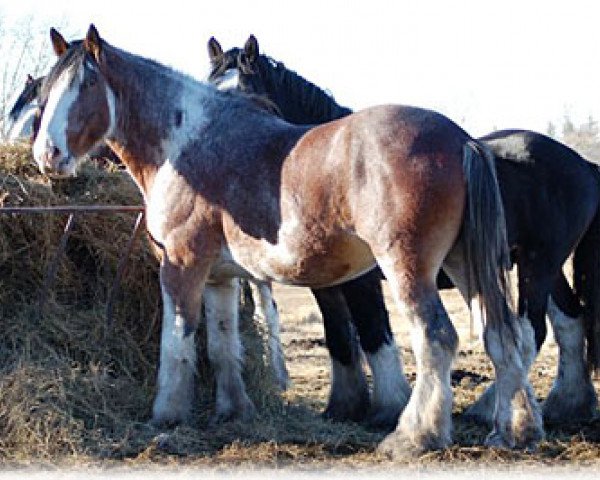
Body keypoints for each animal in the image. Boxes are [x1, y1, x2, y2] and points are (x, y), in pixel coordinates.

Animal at [32, 25, 540, 454]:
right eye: (44, 90)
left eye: (86, 85)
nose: (47, 154)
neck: (186, 142)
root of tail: (459, 139)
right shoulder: (219, 277)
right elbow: (222, 344)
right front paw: (233, 411)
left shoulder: (181, 266)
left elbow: (176, 341)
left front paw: (167, 416)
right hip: (466, 264)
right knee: (502, 334)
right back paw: (515, 430)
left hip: (408, 267)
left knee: (436, 337)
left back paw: (414, 437)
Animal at [207, 35, 600, 426]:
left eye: (251, 98)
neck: (329, 171)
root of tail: (583, 163)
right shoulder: (326, 285)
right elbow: (339, 338)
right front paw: (343, 407)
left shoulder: (362, 281)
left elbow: (372, 333)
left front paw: (387, 408)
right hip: (544, 266)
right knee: (569, 321)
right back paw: (565, 405)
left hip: (539, 263)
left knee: (532, 330)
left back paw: (488, 407)